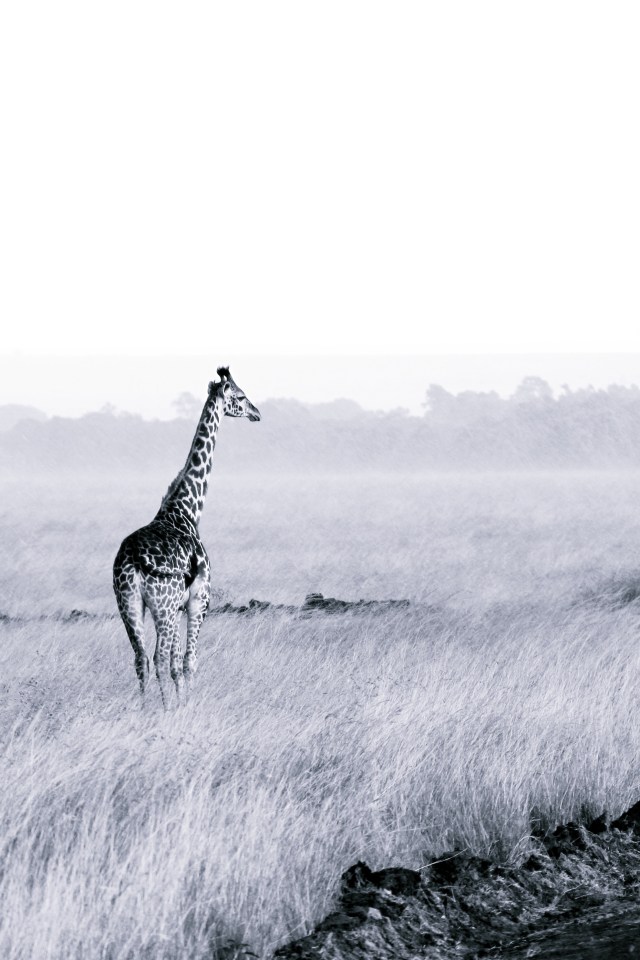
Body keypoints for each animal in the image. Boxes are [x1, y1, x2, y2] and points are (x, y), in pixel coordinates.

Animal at [112, 367, 261, 708]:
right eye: (241, 396)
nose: (256, 413)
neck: (186, 510)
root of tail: (132, 558)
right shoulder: (198, 601)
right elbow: (188, 662)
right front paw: (186, 706)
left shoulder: (178, 605)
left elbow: (177, 663)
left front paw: (182, 703)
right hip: (162, 607)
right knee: (157, 657)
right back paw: (165, 710)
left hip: (129, 604)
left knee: (141, 658)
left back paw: (145, 710)